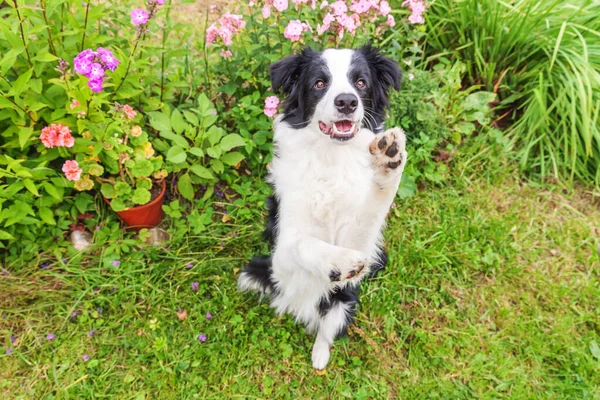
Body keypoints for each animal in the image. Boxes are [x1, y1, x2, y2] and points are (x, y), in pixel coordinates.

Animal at [239, 45, 408, 370]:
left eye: (361, 82)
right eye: (319, 83)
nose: (347, 102)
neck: (331, 158)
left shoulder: (361, 244)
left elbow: (371, 213)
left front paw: (389, 160)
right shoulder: (281, 253)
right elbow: (303, 243)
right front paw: (338, 262)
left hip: (344, 303)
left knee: (326, 331)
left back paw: (319, 357)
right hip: (255, 271)